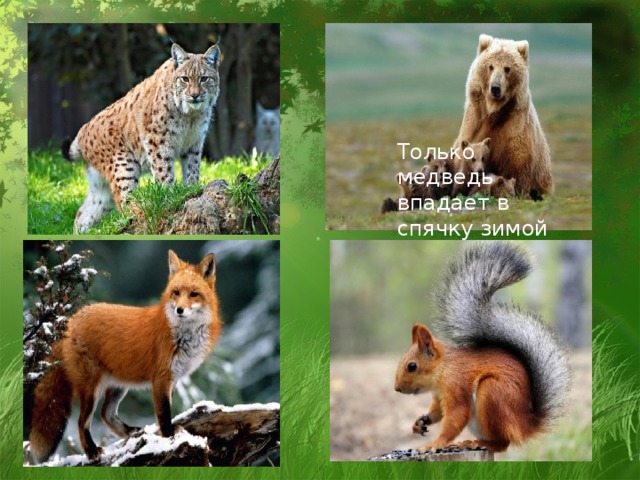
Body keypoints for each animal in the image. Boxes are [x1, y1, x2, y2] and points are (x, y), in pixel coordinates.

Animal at [453, 34, 553, 199]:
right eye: (490, 66)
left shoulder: (515, 129)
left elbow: (517, 167)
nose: (495, 88)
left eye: (507, 68)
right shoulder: (474, 124)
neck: (494, 111)